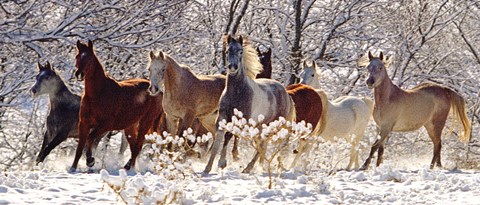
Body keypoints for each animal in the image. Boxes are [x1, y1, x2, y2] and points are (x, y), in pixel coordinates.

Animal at [69, 40, 163, 171]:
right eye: (77, 57)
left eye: (89, 58)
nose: (79, 74)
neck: (98, 94)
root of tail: (157, 90)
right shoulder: (83, 124)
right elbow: (80, 148)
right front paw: (73, 168)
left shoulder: (105, 125)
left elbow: (90, 138)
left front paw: (90, 160)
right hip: (130, 127)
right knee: (134, 146)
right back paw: (127, 166)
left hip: (145, 123)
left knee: (138, 146)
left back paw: (130, 169)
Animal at [202, 34, 296, 175]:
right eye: (227, 51)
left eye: (241, 51)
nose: (233, 67)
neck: (237, 93)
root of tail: (286, 94)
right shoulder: (222, 117)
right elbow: (218, 140)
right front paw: (207, 167)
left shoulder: (241, 120)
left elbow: (229, 136)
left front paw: (222, 163)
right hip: (261, 126)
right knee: (262, 143)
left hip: (272, 125)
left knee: (263, 144)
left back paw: (249, 167)